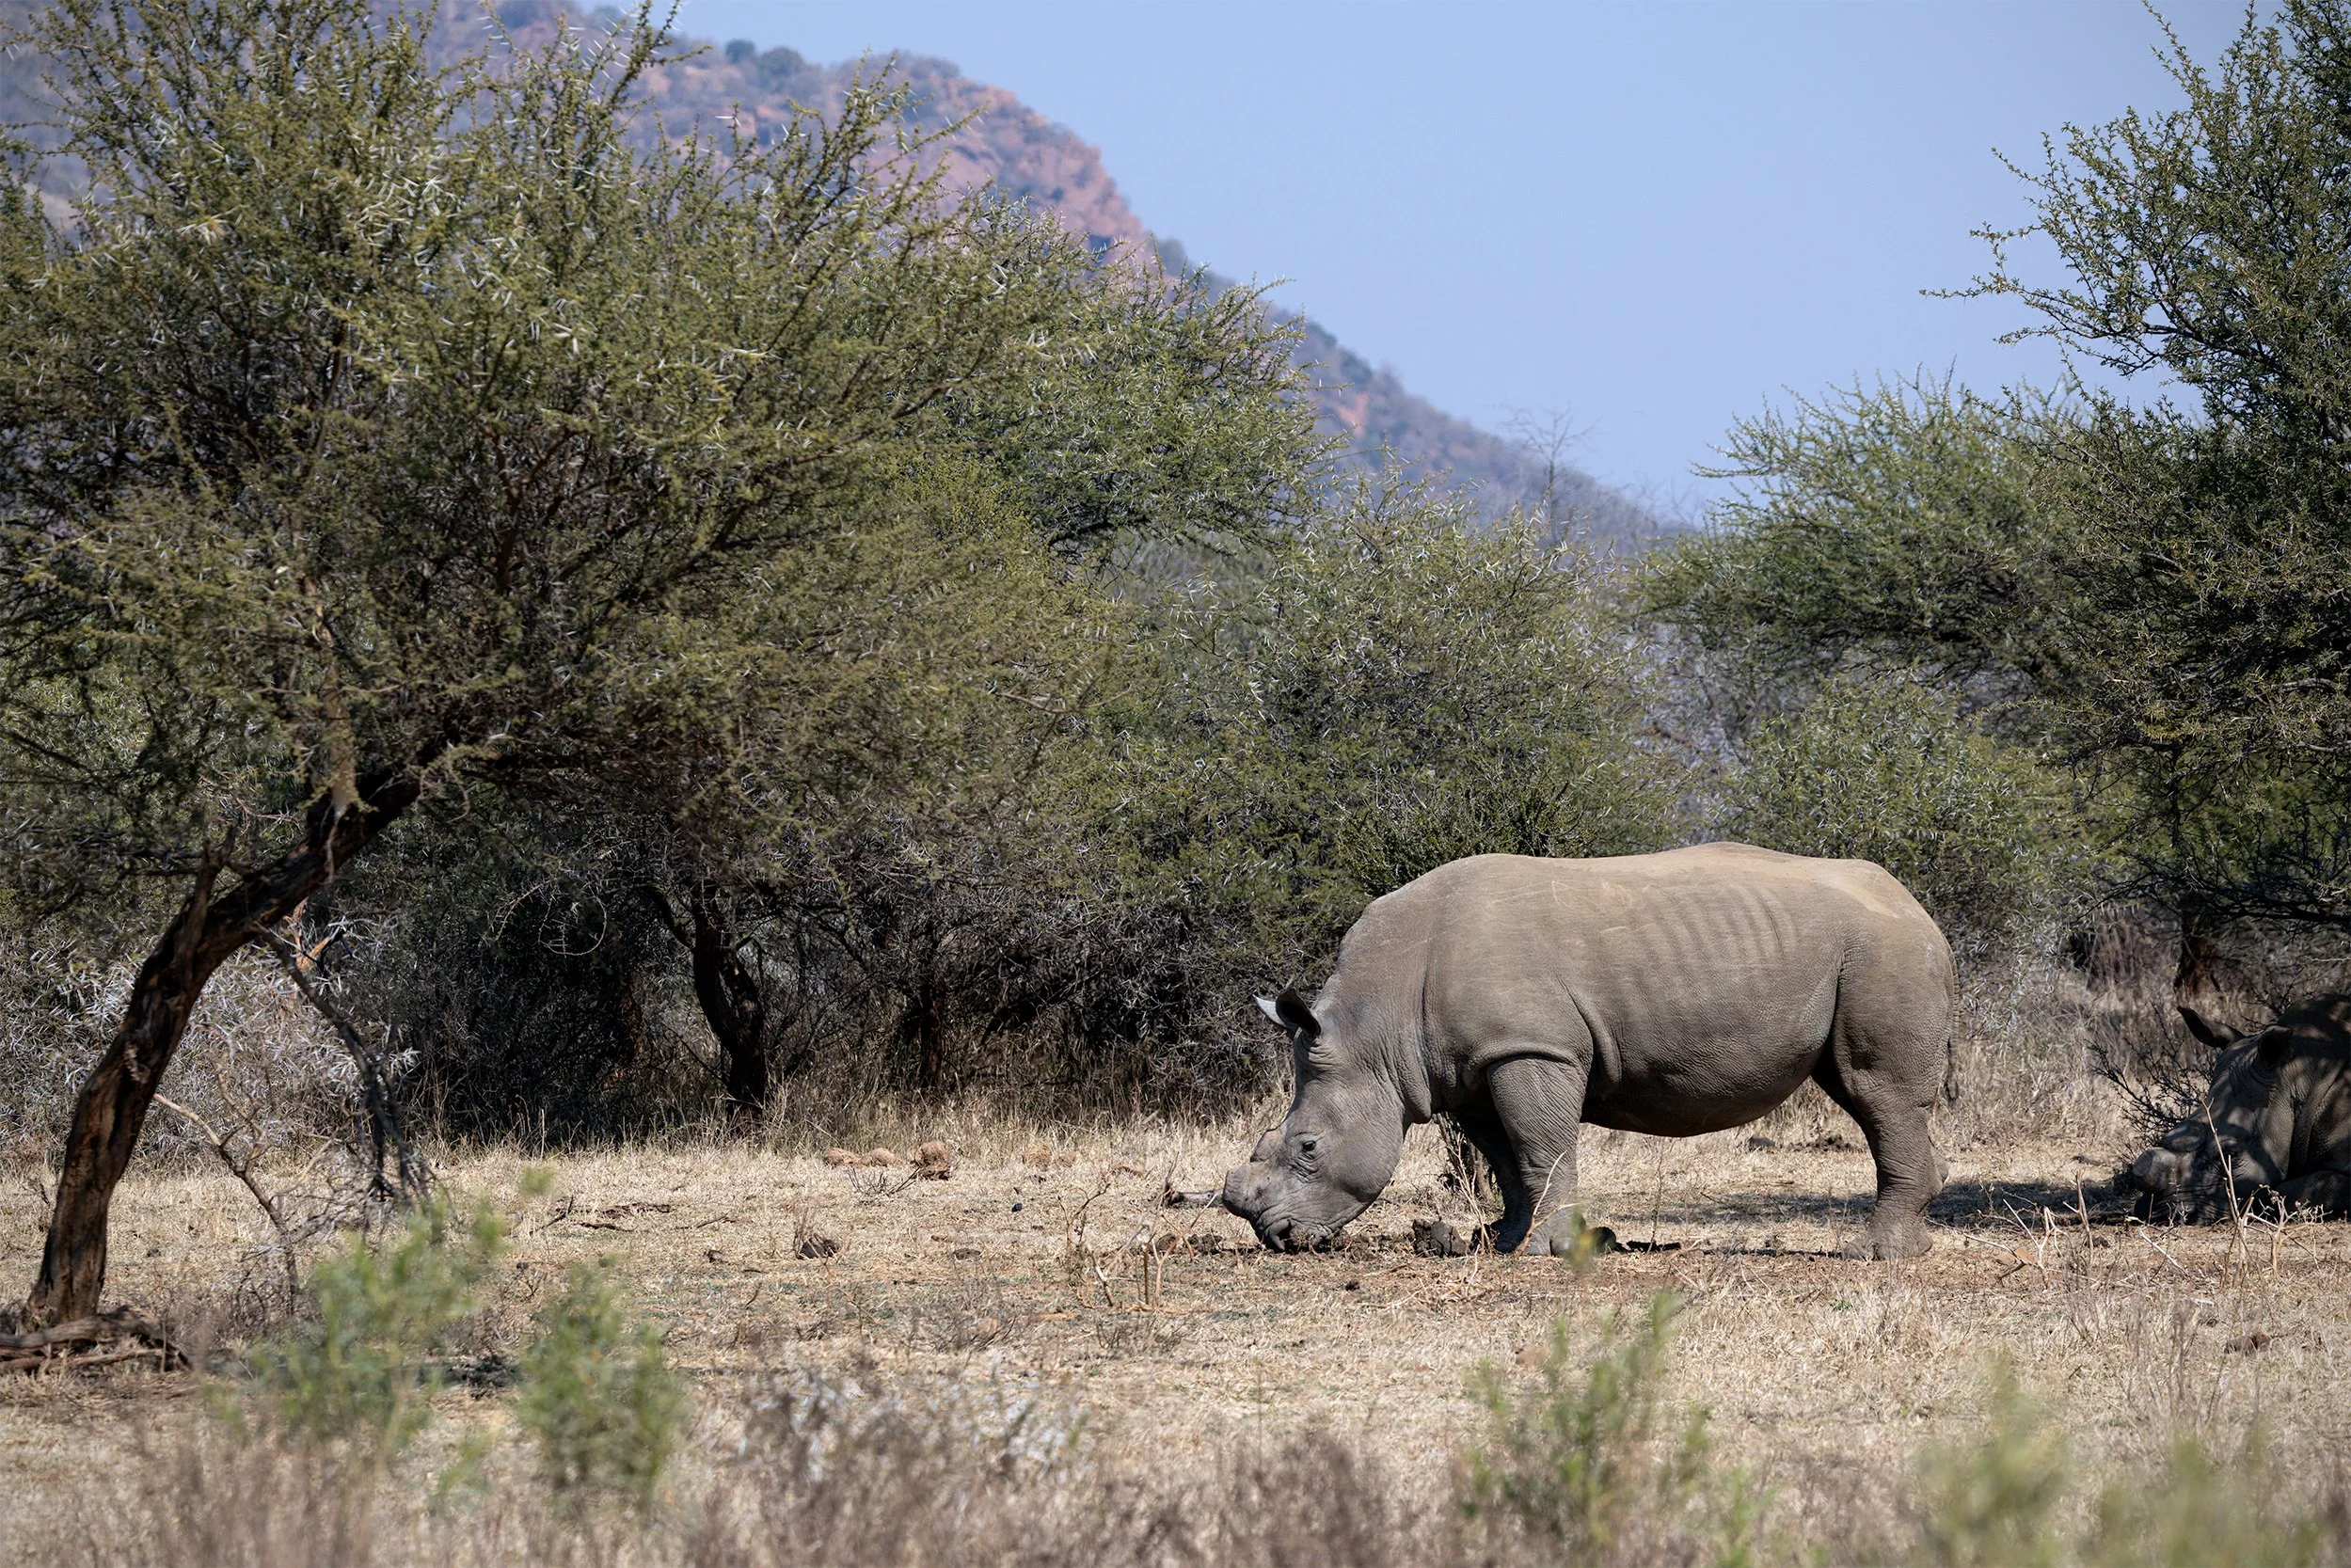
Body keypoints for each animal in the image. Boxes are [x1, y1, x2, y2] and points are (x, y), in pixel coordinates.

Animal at [1222, 844, 1955, 1259]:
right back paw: (1904, 1247)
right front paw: (1505, 1242)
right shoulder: (1474, 1065)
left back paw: (1874, 1256)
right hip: (1859, 949)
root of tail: (1918, 907)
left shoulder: (1530, 1049)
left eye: (1308, 1148)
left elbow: (1541, 1146)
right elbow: (1507, 1157)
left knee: (1877, 1093)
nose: (1277, 1238)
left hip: (1880, 950)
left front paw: (1546, 1249)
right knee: (1861, 1092)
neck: (1374, 1028)